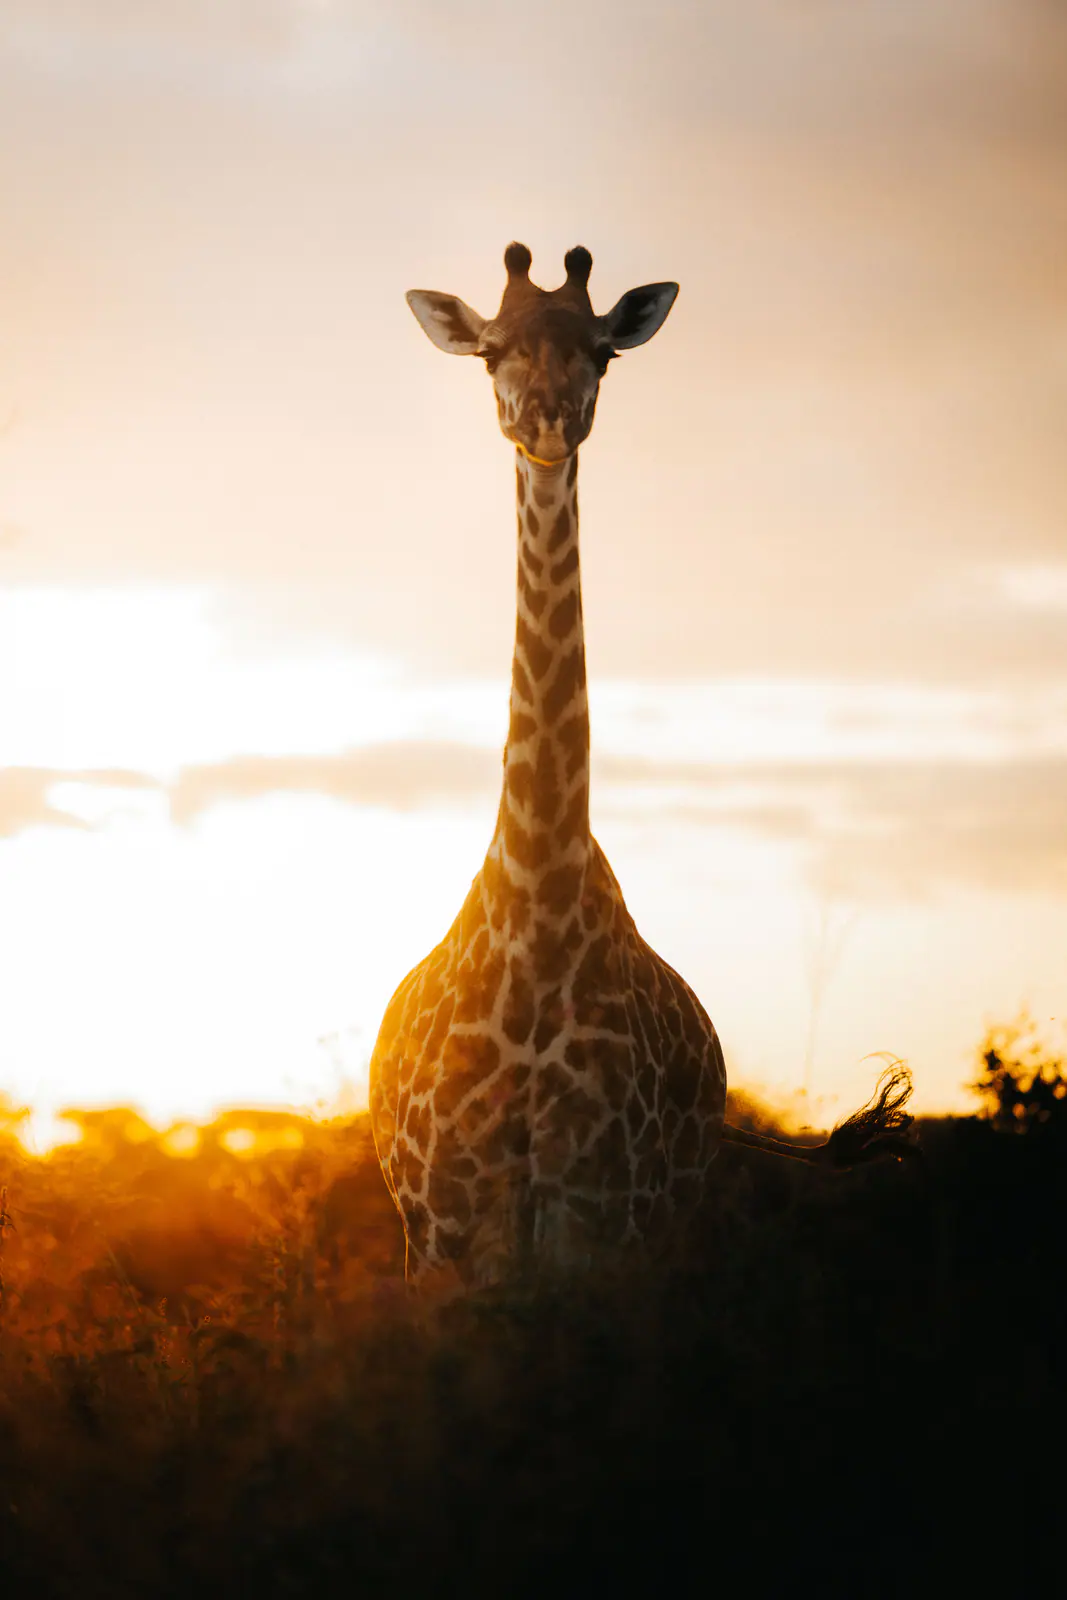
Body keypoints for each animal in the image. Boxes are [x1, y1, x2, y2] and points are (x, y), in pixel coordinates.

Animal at [368, 242, 913, 1290]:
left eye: (602, 353)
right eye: (490, 349)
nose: (546, 420)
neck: (536, 926)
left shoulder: (601, 1226)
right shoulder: (443, 1234)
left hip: (671, 1216)